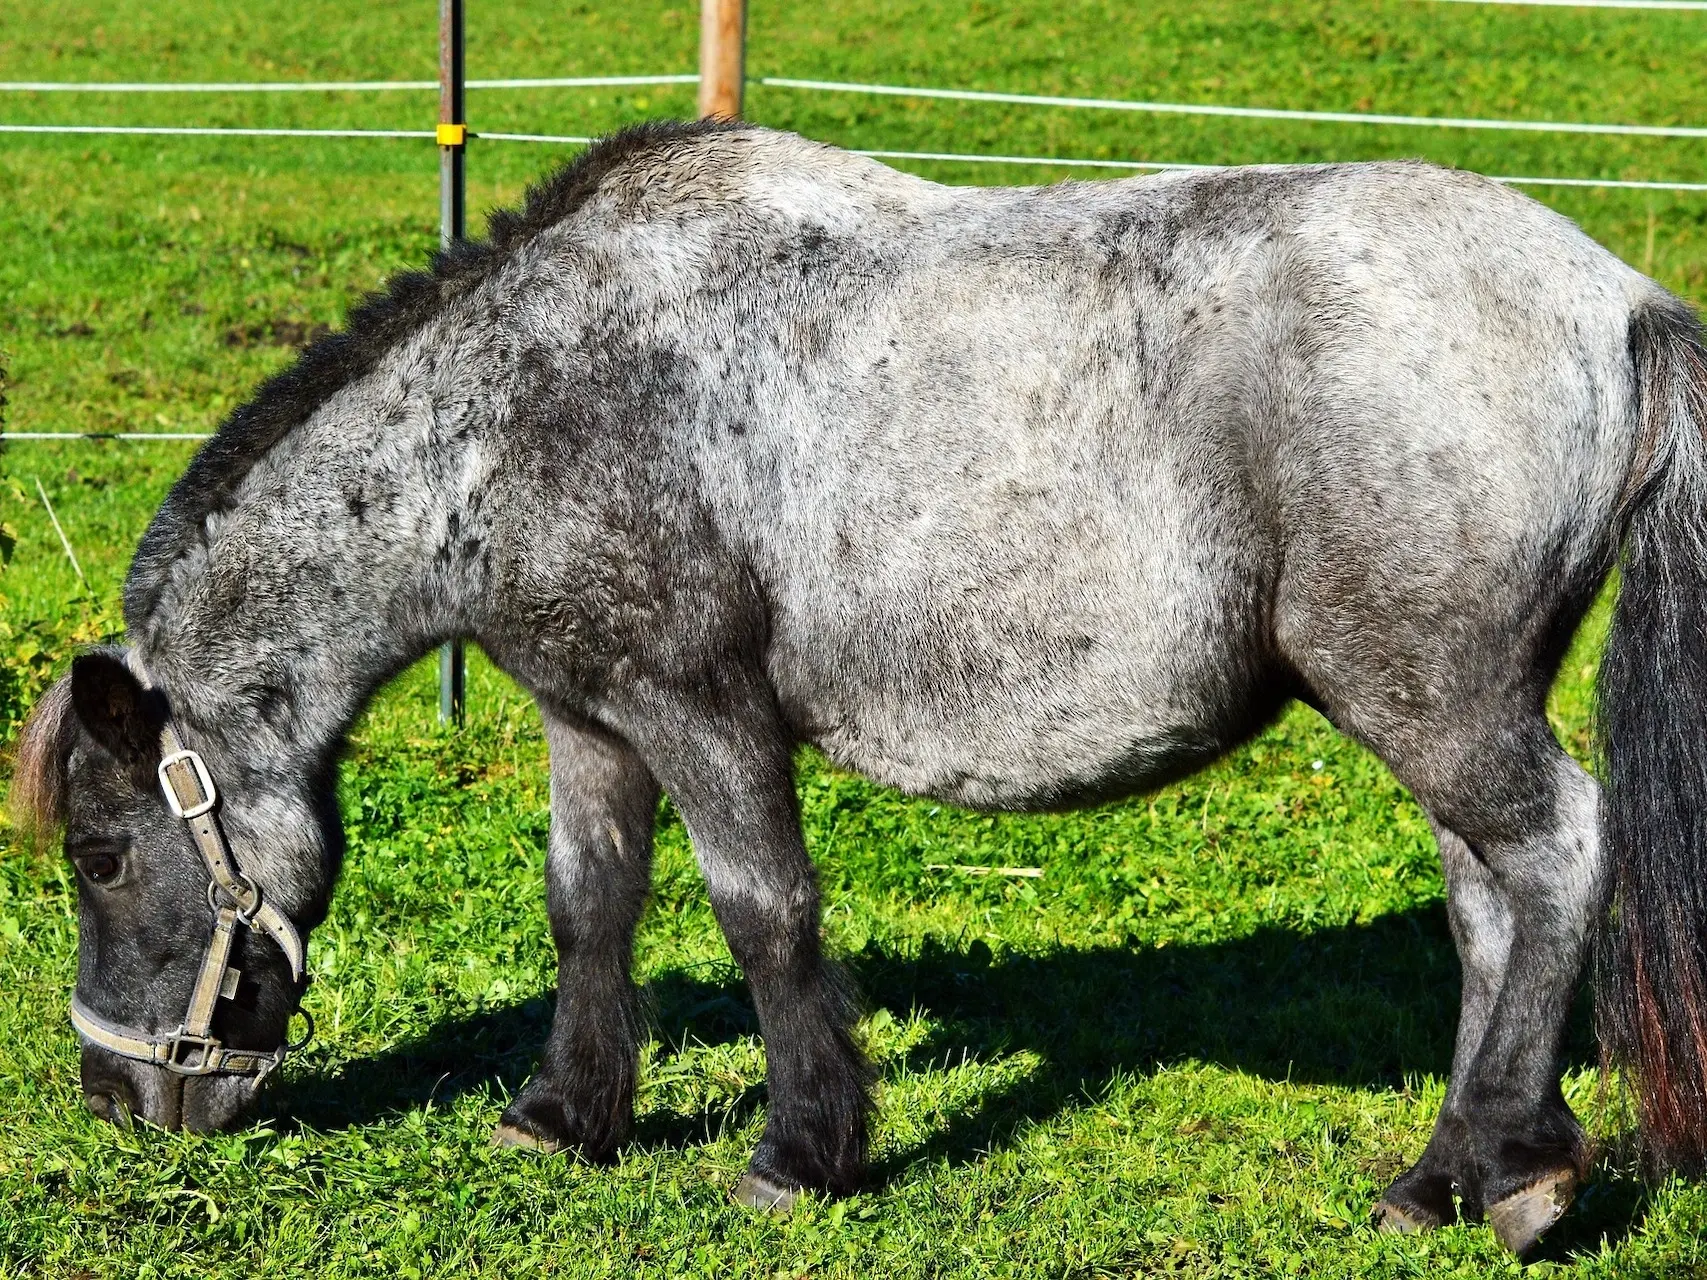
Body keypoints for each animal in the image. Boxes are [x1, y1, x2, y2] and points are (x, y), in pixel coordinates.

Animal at [10, 117, 1707, 1256]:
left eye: (100, 856)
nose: (119, 1100)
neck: (512, 411)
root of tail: (1615, 299)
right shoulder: (587, 718)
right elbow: (588, 906)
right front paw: (565, 1117)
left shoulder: (701, 714)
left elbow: (763, 911)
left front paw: (802, 1151)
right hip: (1435, 714)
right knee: (1489, 908)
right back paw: (1441, 1178)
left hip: (1431, 705)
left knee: (1556, 856)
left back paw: (1516, 1172)